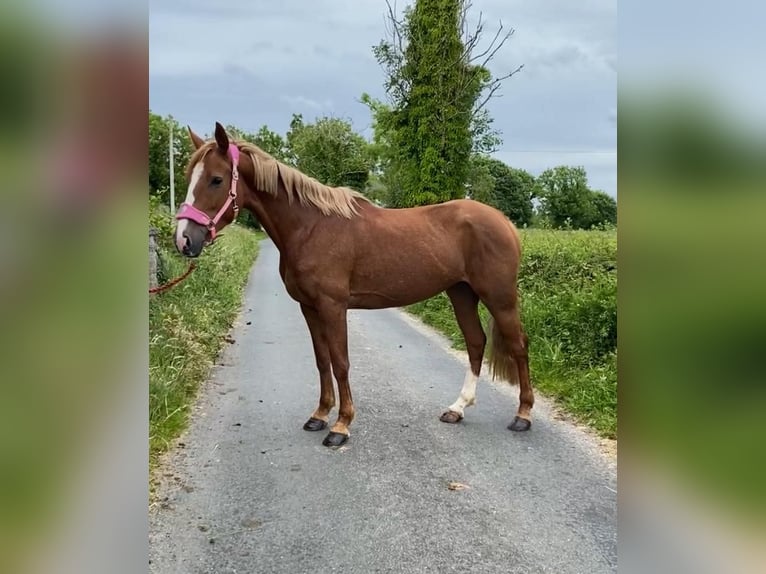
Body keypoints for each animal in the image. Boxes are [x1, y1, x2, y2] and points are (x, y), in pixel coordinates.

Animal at [176, 122, 536, 450]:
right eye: (189, 176)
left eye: (216, 179)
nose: (184, 240)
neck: (311, 227)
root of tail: (504, 221)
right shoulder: (309, 307)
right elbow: (322, 361)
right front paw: (320, 415)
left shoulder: (333, 306)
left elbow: (341, 363)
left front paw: (341, 426)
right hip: (461, 293)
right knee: (476, 343)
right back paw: (458, 408)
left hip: (500, 297)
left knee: (518, 345)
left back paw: (523, 415)